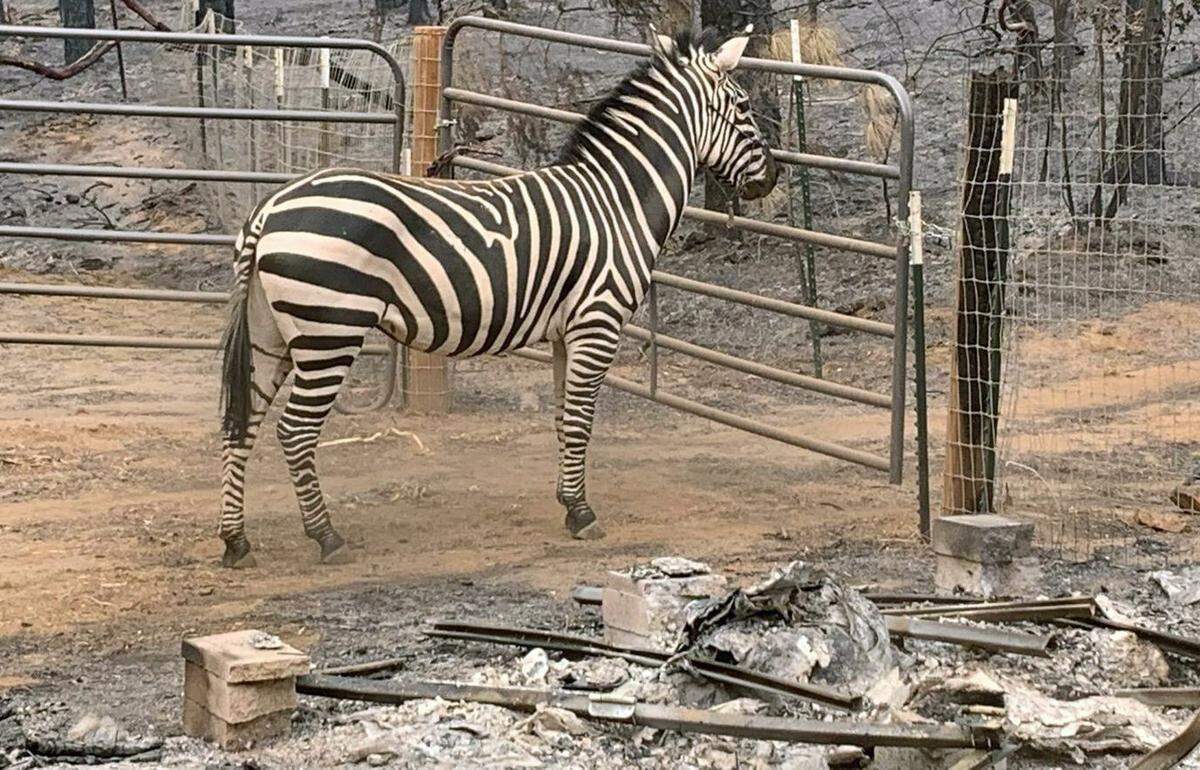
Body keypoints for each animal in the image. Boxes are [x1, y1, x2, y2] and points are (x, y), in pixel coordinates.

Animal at [216, 27, 778, 568]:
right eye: (744, 106)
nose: (772, 179)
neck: (618, 201)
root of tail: (270, 208)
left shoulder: (566, 332)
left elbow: (564, 417)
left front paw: (567, 500)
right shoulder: (597, 321)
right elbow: (581, 421)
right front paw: (583, 514)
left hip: (272, 332)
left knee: (241, 423)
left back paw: (235, 542)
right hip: (329, 328)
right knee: (294, 431)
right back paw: (326, 537)